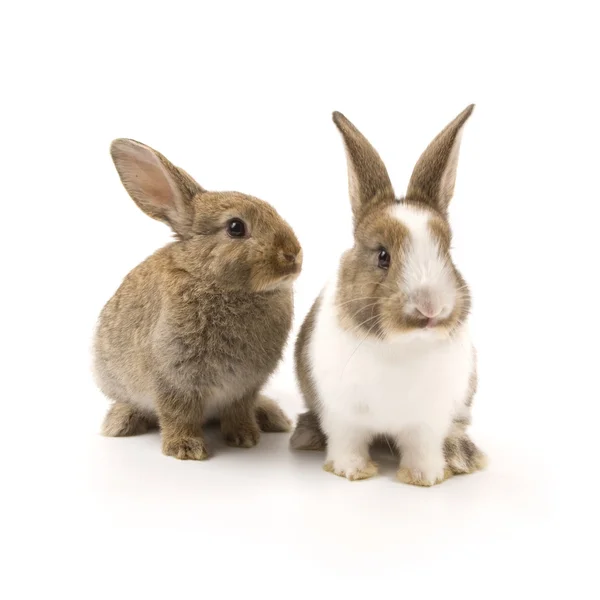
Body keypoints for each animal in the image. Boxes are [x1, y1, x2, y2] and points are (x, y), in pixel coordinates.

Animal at [94, 139, 302, 460]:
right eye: (235, 227)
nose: (293, 255)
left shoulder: (245, 386)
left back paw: (271, 417)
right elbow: (177, 413)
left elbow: (239, 410)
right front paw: (186, 448)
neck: (213, 280)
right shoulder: (173, 377)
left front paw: (245, 437)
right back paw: (120, 423)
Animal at [290, 105, 488, 486]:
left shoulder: (428, 421)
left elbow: (423, 447)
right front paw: (352, 471)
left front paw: (426, 477)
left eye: (447, 252)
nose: (431, 308)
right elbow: (347, 442)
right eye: (383, 256)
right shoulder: (343, 415)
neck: (403, 345)